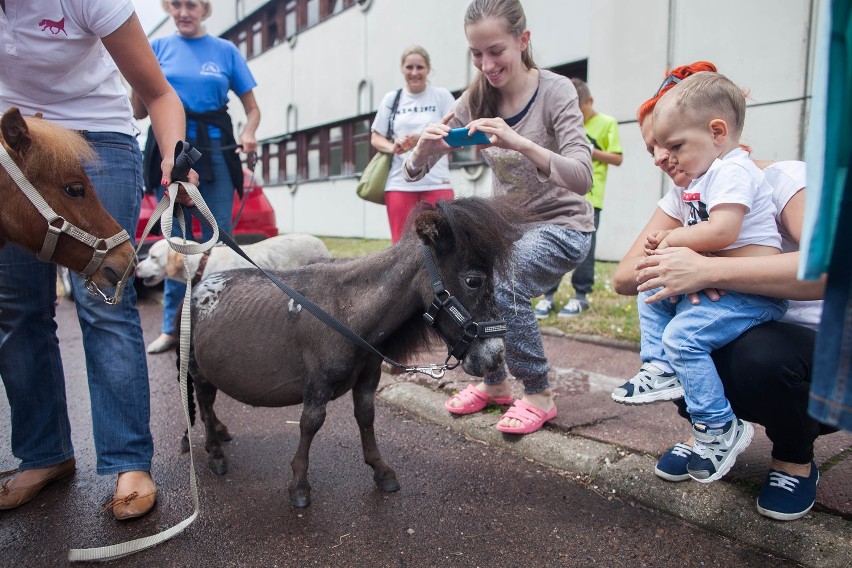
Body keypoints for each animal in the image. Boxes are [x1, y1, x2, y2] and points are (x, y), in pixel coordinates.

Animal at [185, 197, 524, 508]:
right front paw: (299, 484)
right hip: (197, 370)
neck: (345, 311)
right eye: (473, 280)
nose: (495, 357)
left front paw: (381, 471)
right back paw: (215, 452)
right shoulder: (317, 385)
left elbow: (366, 416)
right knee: (204, 402)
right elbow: (310, 423)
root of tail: (197, 285)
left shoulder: (368, 377)